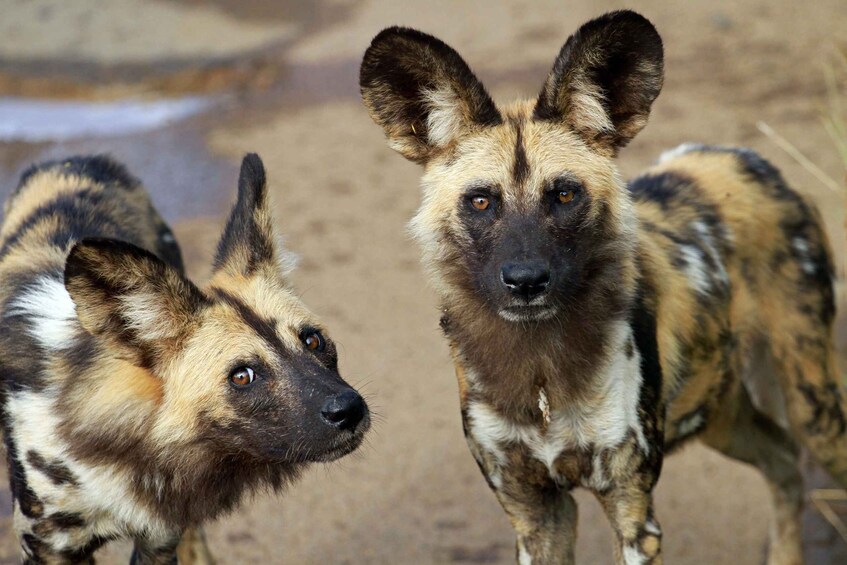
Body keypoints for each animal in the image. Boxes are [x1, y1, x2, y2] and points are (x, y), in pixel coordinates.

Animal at [0, 152, 372, 560]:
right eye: (242, 376)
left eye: (313, 341)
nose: (348, 409)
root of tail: (77, 158)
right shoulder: (50, 548)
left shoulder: (160, 537)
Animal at [360, 8, 847, 564]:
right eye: (481, 201)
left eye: (565, 195)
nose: (526, 281)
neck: (542, 373)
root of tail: (749, 158)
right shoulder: (535, 513)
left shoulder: (632, 509)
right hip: (720, 413)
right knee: (783, 459)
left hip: (814, 409)